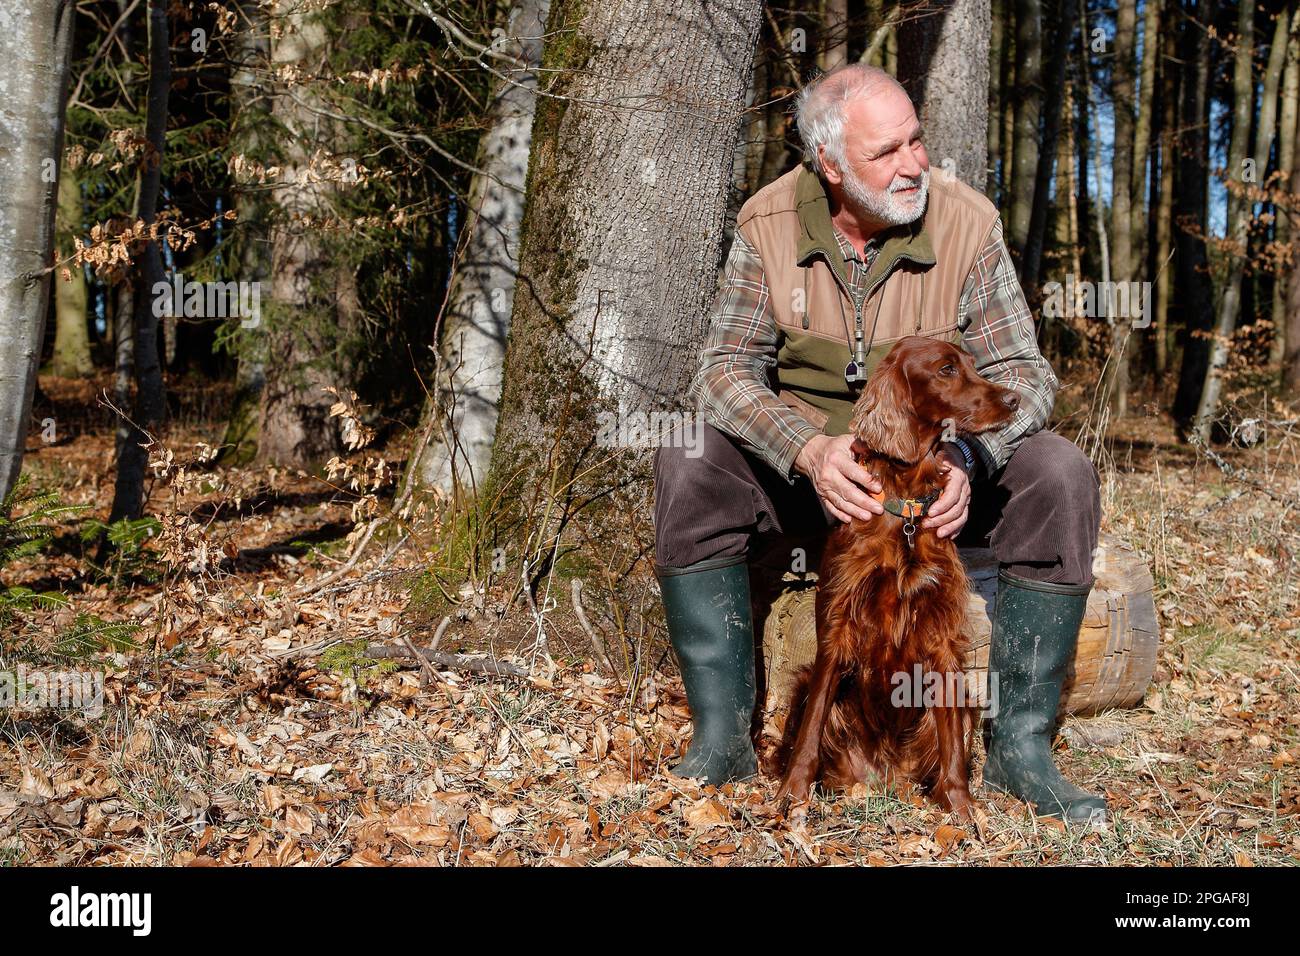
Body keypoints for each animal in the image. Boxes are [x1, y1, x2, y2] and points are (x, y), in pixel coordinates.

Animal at [774, 335, 1019, 822]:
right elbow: (810, 731)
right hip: (804, 681)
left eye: (971, 364)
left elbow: (951, 746)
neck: (905, 506)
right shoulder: (837, 629)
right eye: (946, 369)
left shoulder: (943, 639)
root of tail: (882, 775)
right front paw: (792, 794)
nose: (1013, 400)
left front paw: (960, 808)